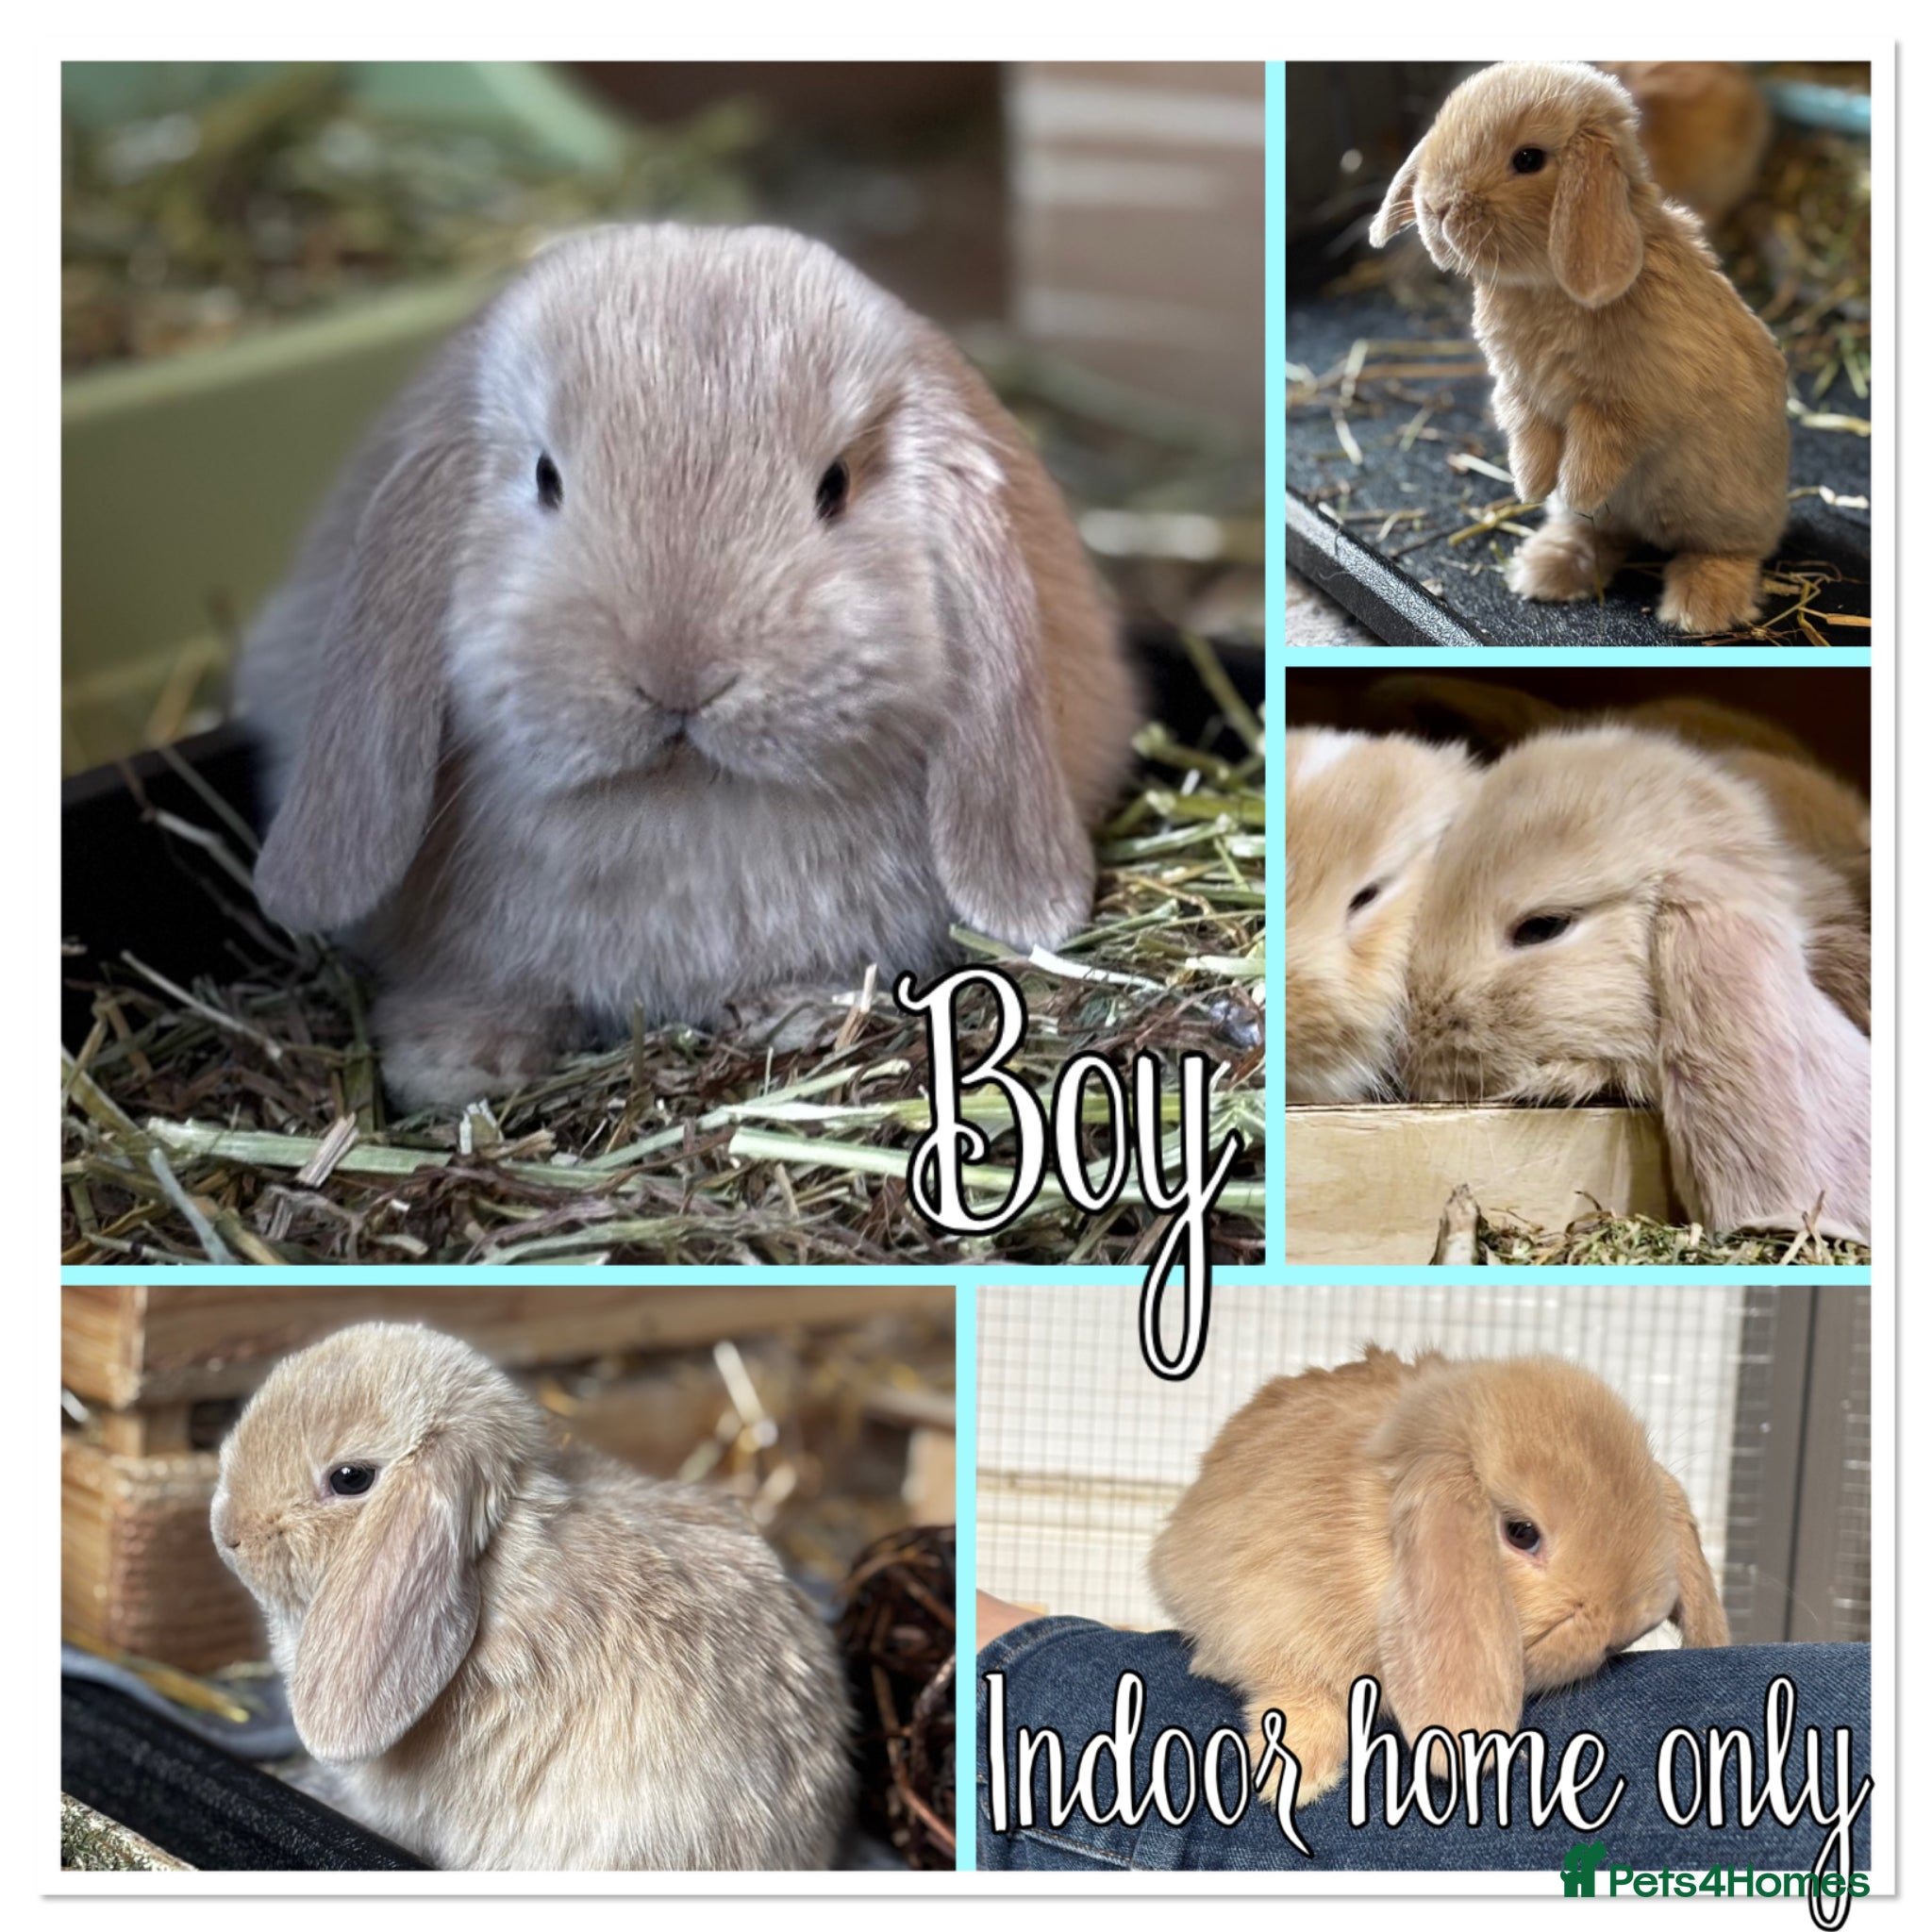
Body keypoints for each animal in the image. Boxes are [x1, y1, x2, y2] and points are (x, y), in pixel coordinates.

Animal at [236, 223, 1141, 1108]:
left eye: (836, 485)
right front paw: (451, 1069)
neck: (684, 801)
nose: (679, 677)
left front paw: (798, 1013)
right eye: (545, 476)